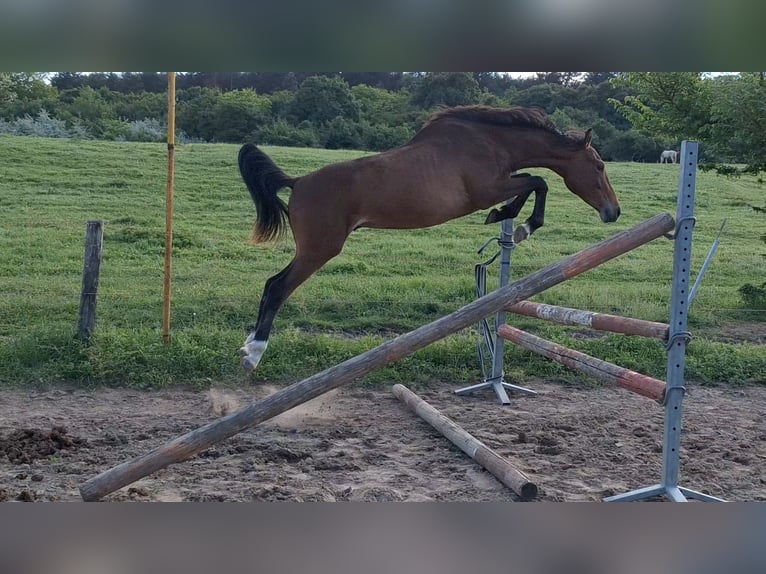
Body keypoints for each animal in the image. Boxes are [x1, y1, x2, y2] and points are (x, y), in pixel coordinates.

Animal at [237, 105, 621, 373]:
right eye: (599, 166)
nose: (613, 211)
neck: (490, 143)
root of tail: (298, 182)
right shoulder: (486, 190)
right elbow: (537, 181)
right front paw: (520, 223)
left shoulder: (500, 183)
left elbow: (531, 181)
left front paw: (506, 217)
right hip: (320, 249)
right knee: (278, 287)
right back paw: (254, 353)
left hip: (312, 250)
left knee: (271, 283)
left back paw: (248, 344)